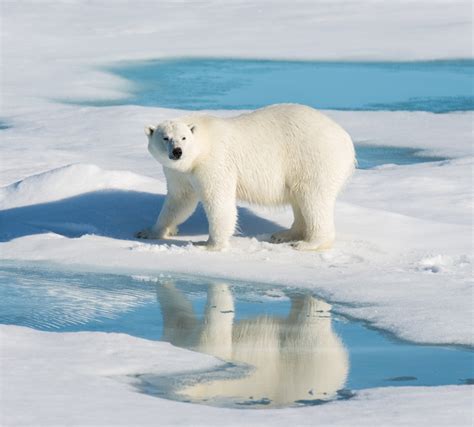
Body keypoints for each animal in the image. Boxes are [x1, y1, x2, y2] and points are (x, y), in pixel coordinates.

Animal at [135, 104, 354, 251]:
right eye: (165, 138)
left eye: (183, 137)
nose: (177, 151)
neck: (203, 143)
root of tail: (346, 139)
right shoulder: (180, 173)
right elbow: (179, 201)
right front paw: (149, 231)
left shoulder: (214, 162)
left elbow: (219, 202)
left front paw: (208, 244)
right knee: (299, 200)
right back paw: (284, 235)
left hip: (313, 158)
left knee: (313, 199)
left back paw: (307, 243)